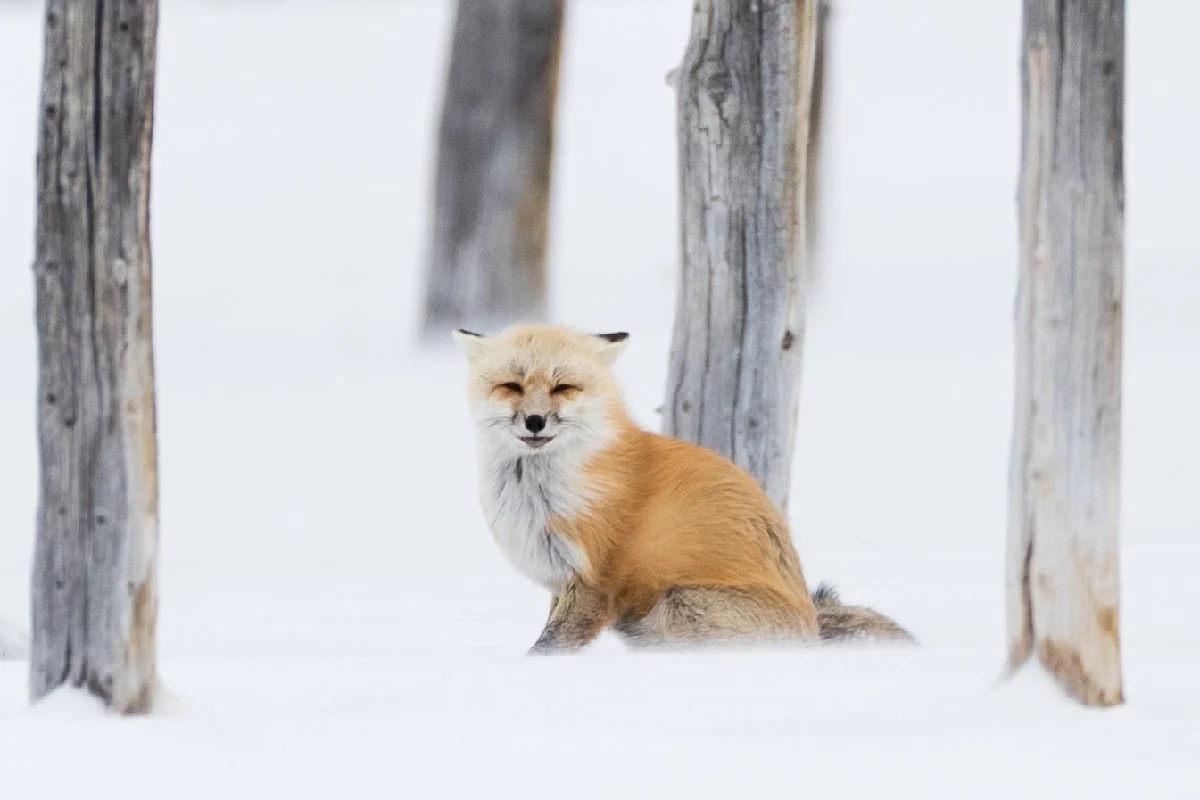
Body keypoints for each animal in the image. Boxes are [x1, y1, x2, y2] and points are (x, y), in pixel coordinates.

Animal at [452, 323, 913, 653]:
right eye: (511, 386)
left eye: (563, 387)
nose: (535, 421)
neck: (536, 495)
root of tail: (813, 629)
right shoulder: (562, 580)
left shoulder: (594, 579)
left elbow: (549, 645)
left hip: (677, 604)